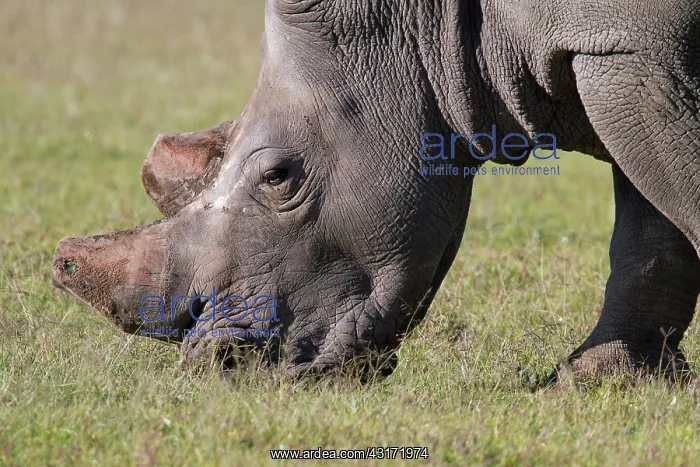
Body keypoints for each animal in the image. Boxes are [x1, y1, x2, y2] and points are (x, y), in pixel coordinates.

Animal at [52, 0, 700, 381]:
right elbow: (649, 226)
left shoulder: (629, 45)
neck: (427, 20)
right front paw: (606, 381)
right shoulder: (622, 49)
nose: (220, 368)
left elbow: (673, 193)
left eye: (278, 177)